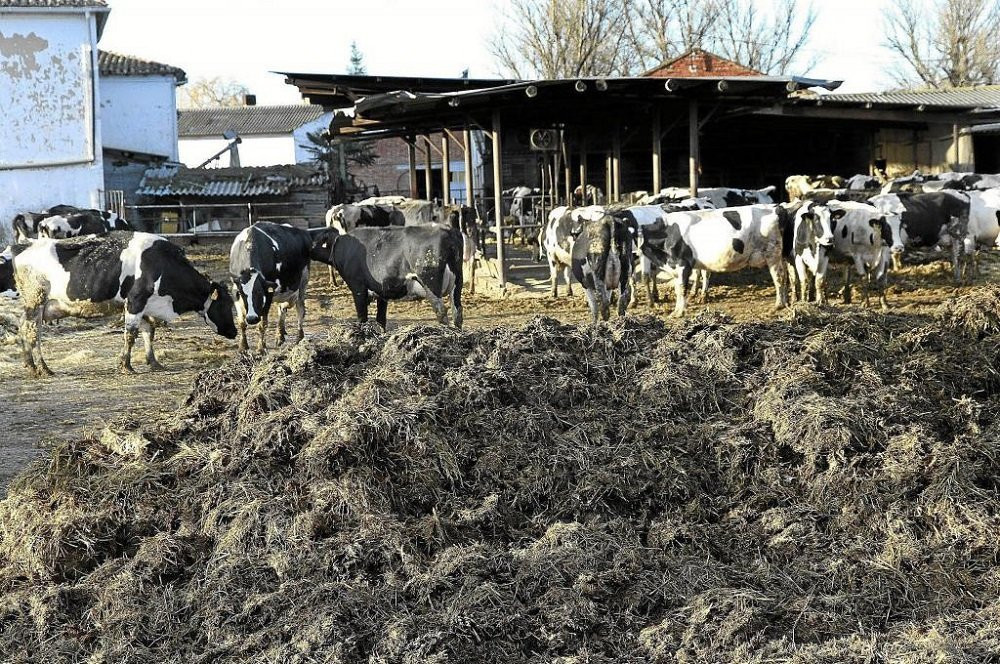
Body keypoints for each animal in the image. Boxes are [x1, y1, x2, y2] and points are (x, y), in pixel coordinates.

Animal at [11, 231, 236, 376]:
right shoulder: (136, 301)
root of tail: (23, 246)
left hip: (37, 307)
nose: (234, 332)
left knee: (23, 327)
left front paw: (153, 362)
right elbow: (130, 334)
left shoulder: (144, 305)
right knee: (32, 332)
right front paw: (125, 366)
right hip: (36, 300)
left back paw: (30, 365)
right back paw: (43, 368)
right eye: (226, 305)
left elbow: (149, 330)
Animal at [229, 222, 312, 352]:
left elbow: (262, 324)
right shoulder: (235, 290)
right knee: (282, 309)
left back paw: (300, 338)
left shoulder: (268, 292)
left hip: (303, 280)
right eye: (242, 294)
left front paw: (261, 348)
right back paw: (280, 336)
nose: (252, 318)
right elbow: (241, 322)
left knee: (300, 309)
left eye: (259, 293)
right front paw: (243, 346)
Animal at [308, 226, 464, 330]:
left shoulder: (358, 287)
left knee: (441, 311)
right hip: (458, 284)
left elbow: (362, 318)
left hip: (430, 284)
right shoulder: (381, 292)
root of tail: (448, 231)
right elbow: (380, 320)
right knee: (457, 312)